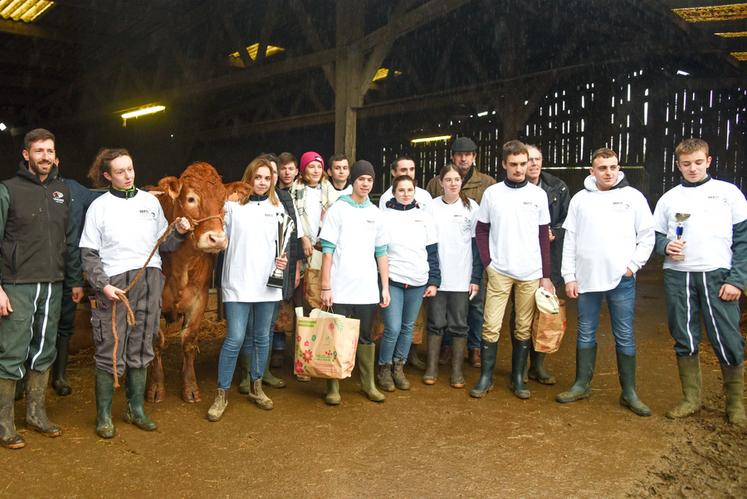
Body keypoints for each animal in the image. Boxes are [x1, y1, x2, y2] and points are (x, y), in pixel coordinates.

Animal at [148, 162, 250, 404]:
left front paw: (190, 386)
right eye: (191, 198)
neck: (182, 263)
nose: (217, 239)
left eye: (224, 202)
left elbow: (189, 340)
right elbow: (157, 341)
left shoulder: (200, 297)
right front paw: (156, 386)